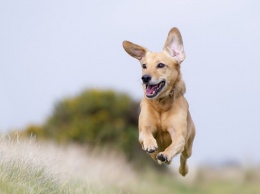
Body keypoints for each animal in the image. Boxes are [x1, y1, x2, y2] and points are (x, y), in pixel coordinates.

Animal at [123, 27, 196, 177]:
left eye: (161, 65)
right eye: (144, 65)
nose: (145, 78)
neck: (161, 105)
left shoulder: (178, 135)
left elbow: (174, 145)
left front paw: (165, 154)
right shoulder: (144, 127)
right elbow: (146, 133)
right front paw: (150, 144)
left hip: (189, 146)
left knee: (184, 157)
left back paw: (182, 170)